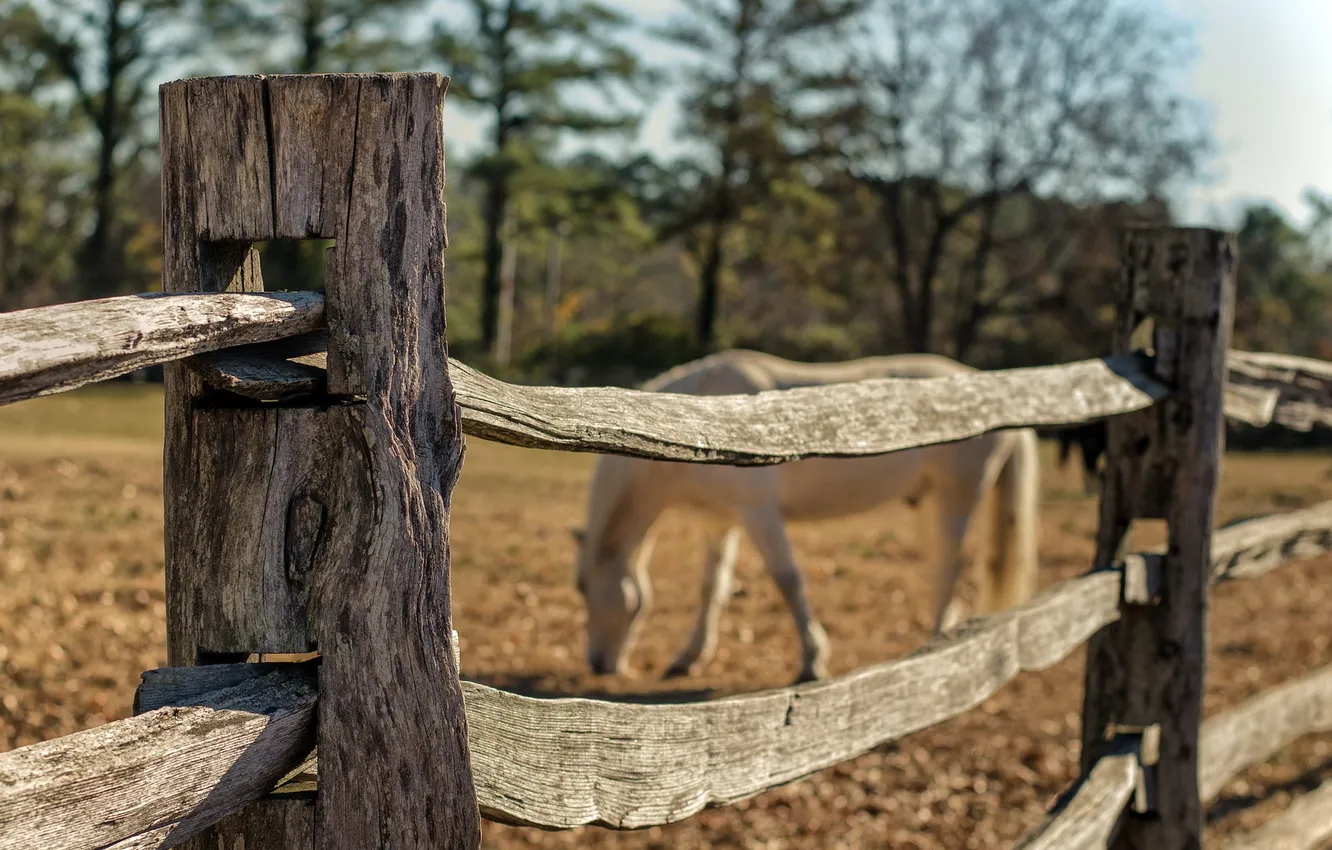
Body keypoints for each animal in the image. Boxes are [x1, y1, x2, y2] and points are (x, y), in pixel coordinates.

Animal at [571, 349, 1042, 684]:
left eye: (584, 589)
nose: (597, 664)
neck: (696, 423)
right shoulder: (719, 523)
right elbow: (712, 588)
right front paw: (687, 658)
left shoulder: (759, 514)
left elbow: (788, 580)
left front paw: (813, 661)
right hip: (928, 502)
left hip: (955, 499)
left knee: (952, 564)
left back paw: (937, 639)